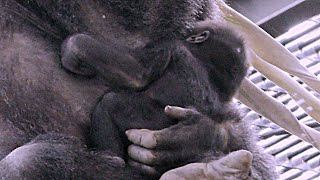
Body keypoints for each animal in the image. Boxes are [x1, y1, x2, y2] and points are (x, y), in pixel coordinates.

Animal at [59, 21, 270, 179]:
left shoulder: (165, 46)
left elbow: (137, 73)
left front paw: (74, 48)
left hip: (151, 122)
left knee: (110, 104)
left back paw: (112, 159)